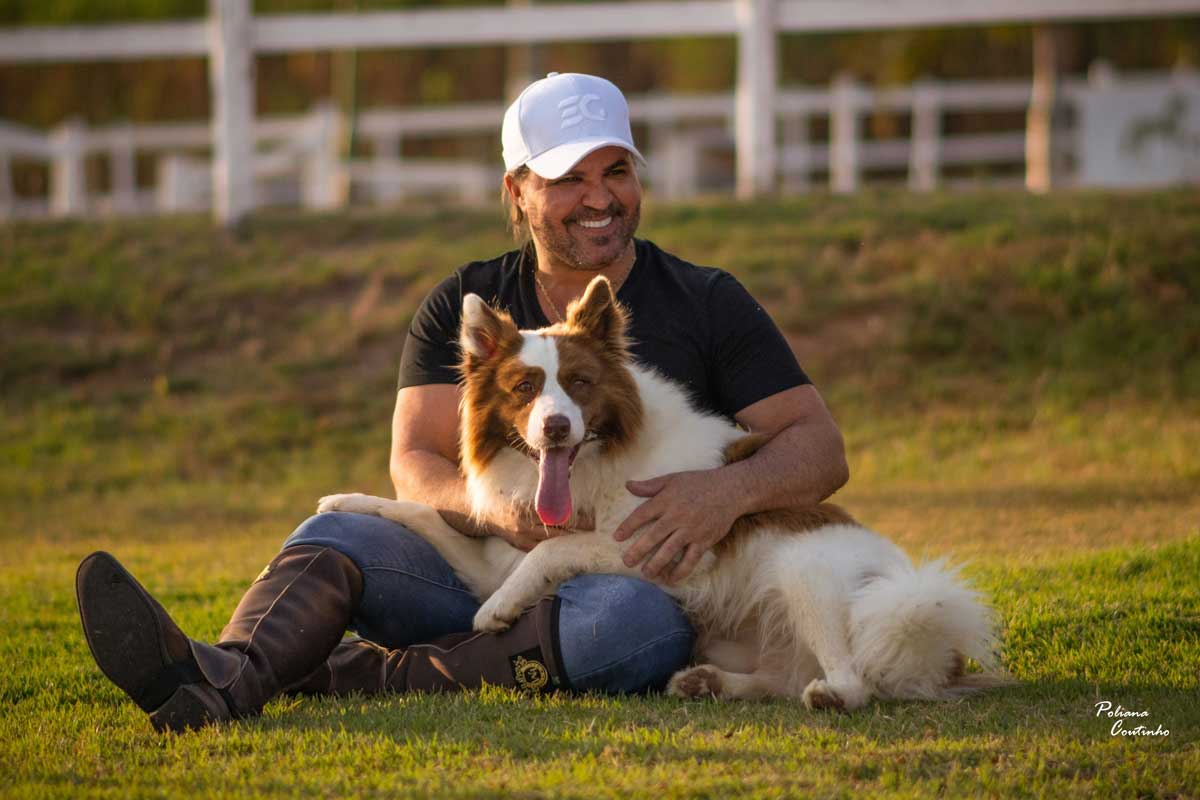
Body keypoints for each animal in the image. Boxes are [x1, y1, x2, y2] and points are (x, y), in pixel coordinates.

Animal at [321, 278, 1003, 710]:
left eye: (580, 383)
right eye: (524, 388)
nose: (556, 427)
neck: (600, 466)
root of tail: (937, 656)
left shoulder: (660, 550)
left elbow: (553, 552)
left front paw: (498, 613)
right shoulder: (493, 557)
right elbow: (421, 511)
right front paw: (343, 502)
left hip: (810, 571)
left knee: (855, 679)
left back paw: (831, 695)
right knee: (780, 679)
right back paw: (709, 684)